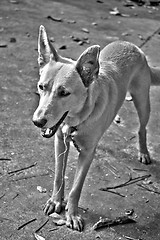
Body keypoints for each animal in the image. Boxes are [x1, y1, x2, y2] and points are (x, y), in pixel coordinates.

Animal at [32, 25, 160, 232]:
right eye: (41, 87)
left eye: (64, 93)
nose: (37, 122)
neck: (77, 119)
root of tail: (133, 47)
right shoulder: (60, 142)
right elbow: (59, 176)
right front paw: (56, 201)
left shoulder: (87, 154)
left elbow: (76, 188)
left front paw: (72, 215)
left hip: (142, 102)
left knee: (142, 128)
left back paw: (143, 152)